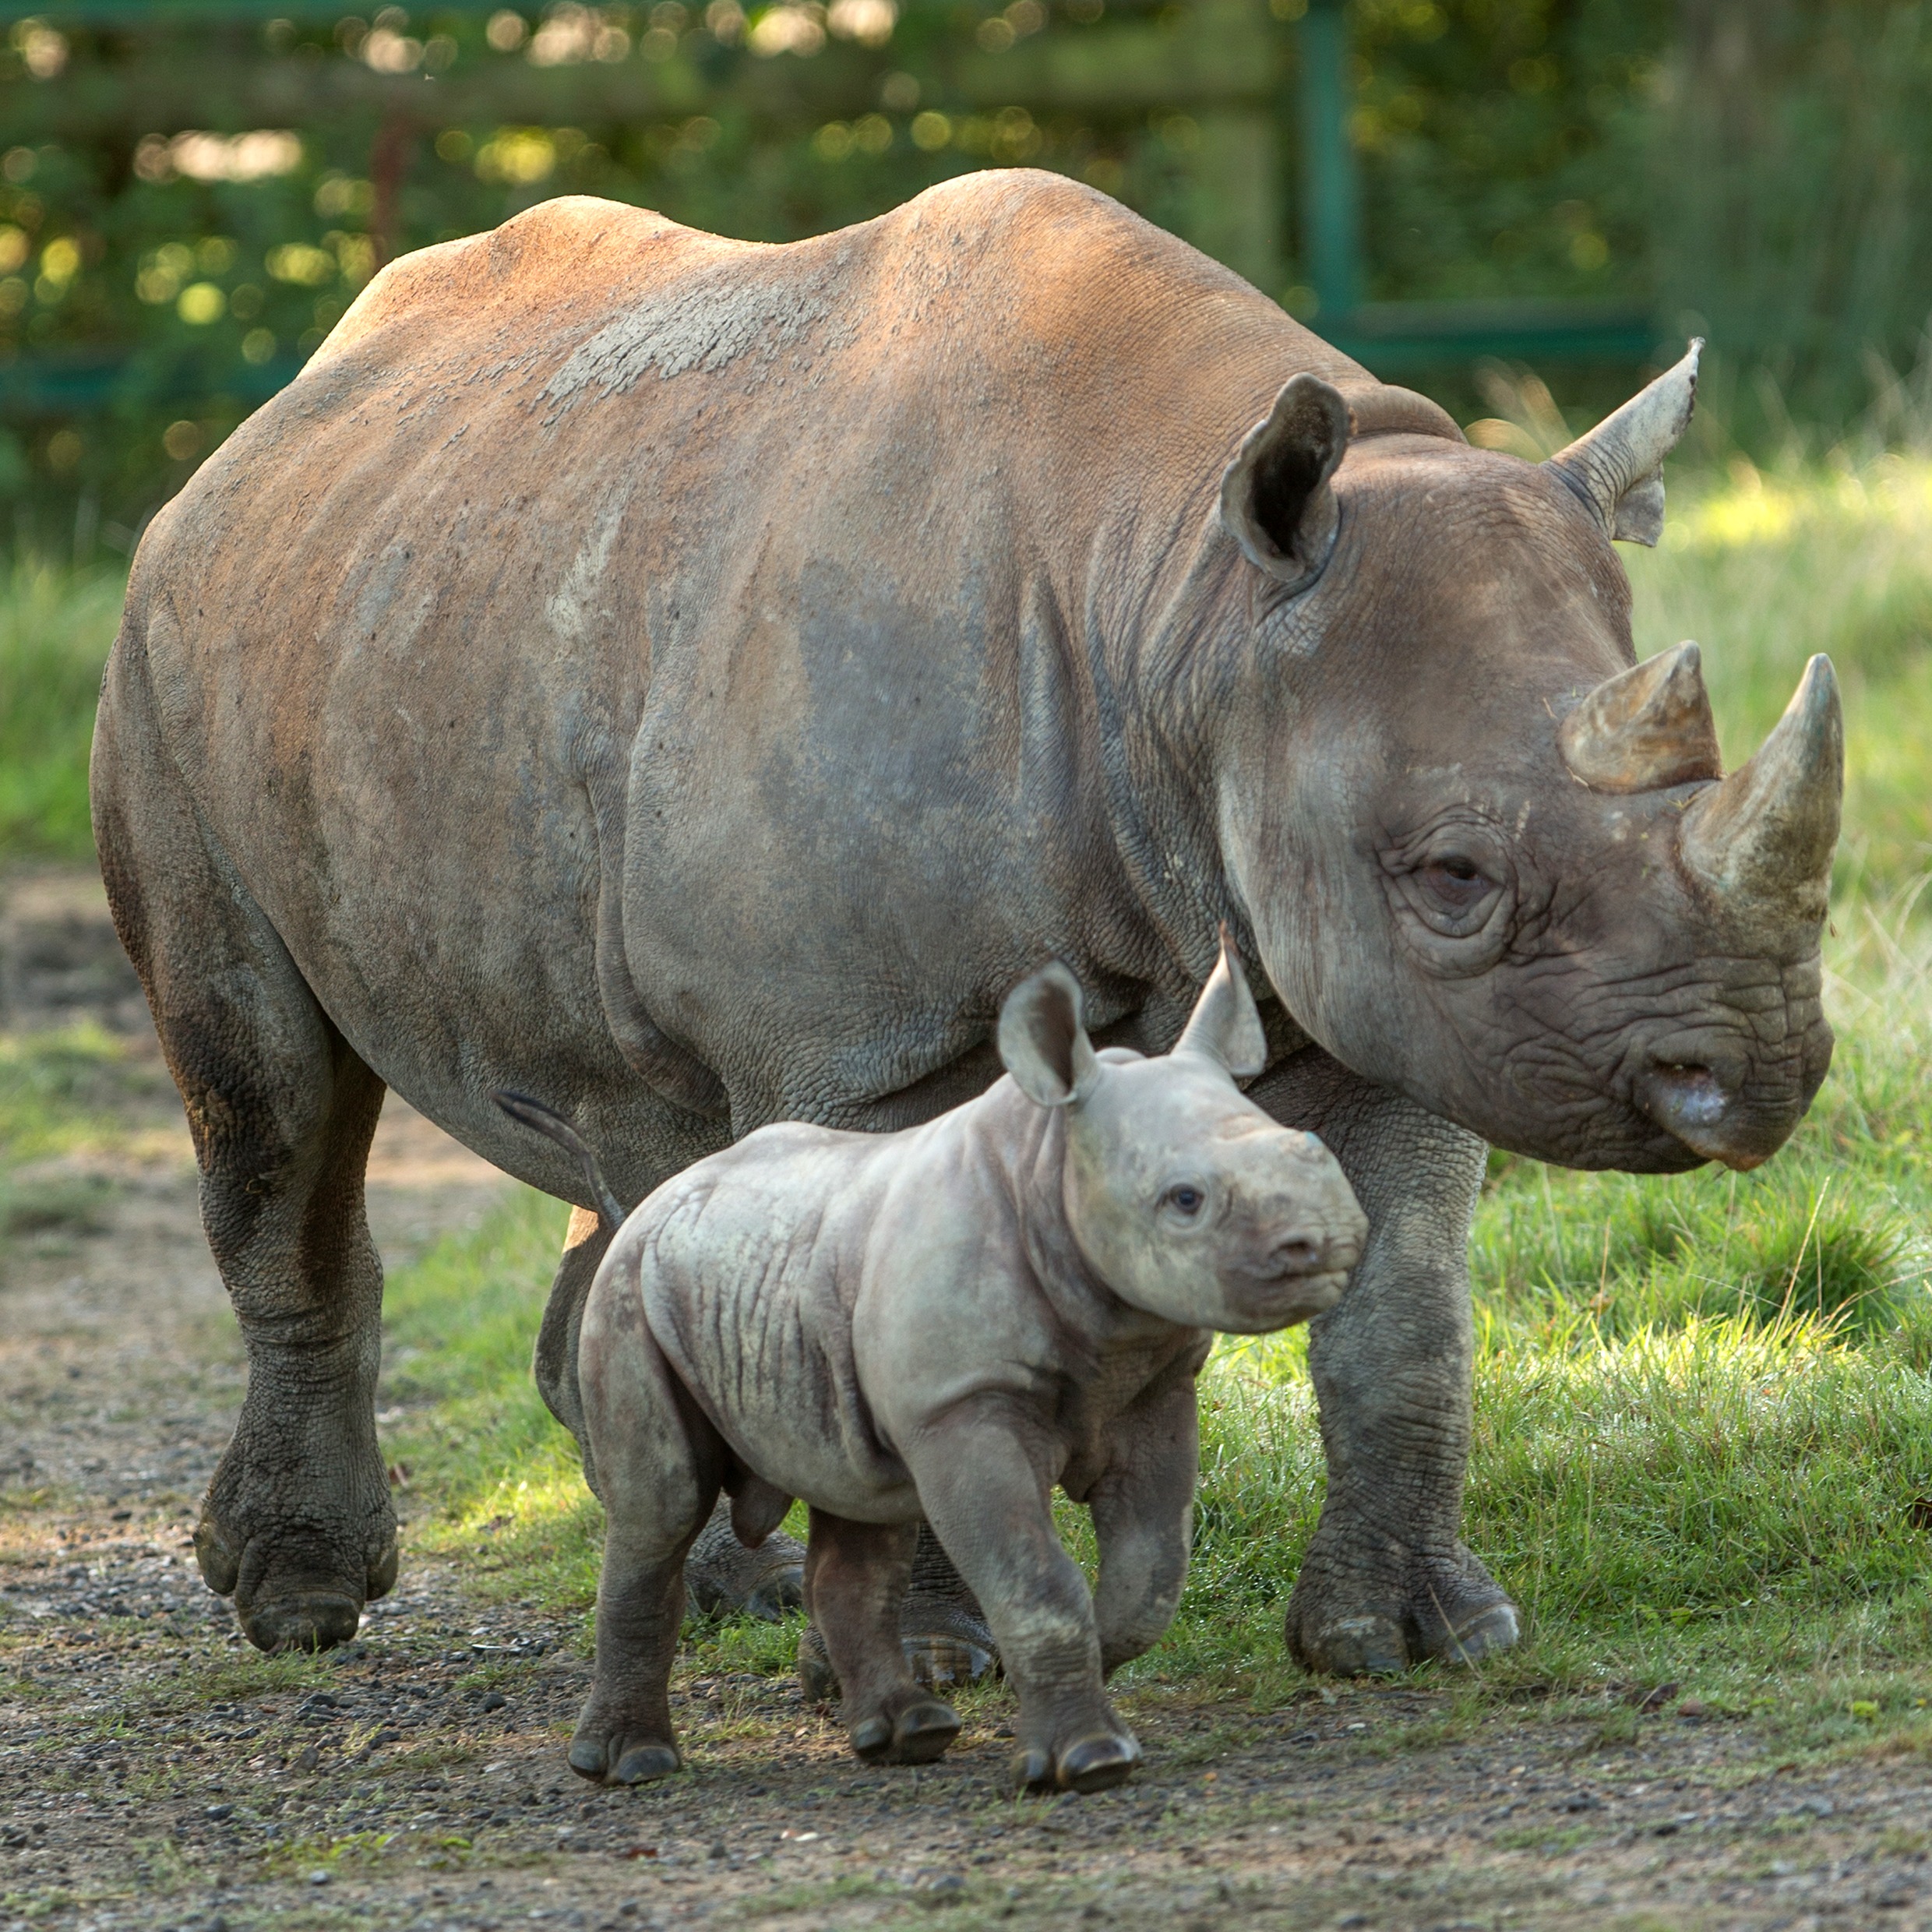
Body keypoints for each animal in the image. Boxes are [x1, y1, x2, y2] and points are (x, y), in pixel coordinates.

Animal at [89, 169, 1841, 1674]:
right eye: (1456, 878)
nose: (1755, 1074)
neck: (1181, 599)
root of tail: (276, 415)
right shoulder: (865, 1041)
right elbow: (901, 1307)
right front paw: (936, 1657)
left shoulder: (1376, 999)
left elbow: (1404, 1305)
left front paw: (1412, 1640)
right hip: (168, 649)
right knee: (269, 1103)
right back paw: (301, 1607)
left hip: (453, 599)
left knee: (631, 1131)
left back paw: (724, 1587)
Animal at [508, 937, 1366, 1792]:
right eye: (1184, 1200)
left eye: (1312, 1151)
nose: (1323, 1242)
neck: (1052, 1162)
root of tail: (651, 1202)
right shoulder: (960, 1402)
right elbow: (1035, 1578)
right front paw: (1088, 1760)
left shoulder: (1149, 1385)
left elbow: (1150, 1572)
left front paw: (1088, 1668)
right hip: (632, 1291)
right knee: (663, 1508)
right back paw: (631, 1764)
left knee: (861, 1502)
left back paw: (907, 1734)